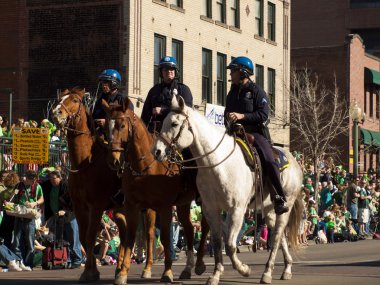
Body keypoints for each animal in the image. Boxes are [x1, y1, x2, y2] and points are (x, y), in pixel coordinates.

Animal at [52, 88, 156, 282]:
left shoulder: (96, 206)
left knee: (149, 233)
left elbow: (90, 236)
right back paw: (120, 268)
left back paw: (146, 269)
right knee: (124, 231)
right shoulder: (80, 207)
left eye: (75, 100)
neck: (85, 163)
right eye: (60, 98)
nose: (56, 113)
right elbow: (84, 238)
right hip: (119, 209)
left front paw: (90, 271)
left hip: (147, 208)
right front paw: (91, 270)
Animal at [102, 97, 209, 284]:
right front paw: (122, 273)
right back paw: (187, 269)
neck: (145, 166)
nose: (113, 160)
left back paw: (200, 264)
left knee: (205, 226)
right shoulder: (132, 206)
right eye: (107, 125)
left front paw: (167, 272)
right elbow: (131, 237)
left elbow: (165, 237)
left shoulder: (164, 208)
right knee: (189, 228)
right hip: (183, 204)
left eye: (122, 125)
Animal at [151, 95, 302, 284]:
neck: (216, 164)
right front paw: (215, 274)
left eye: (174, 124)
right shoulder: (211, 209)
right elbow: (217, 242)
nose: (156, 151)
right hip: (268, 210)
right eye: (162, 122)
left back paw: (267, 272)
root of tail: (294, 161)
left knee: (276, 237)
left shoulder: (236, 209)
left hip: (284, 206)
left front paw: (244, 270)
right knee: (279, 236)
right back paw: (286, 268)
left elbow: (230, 244)